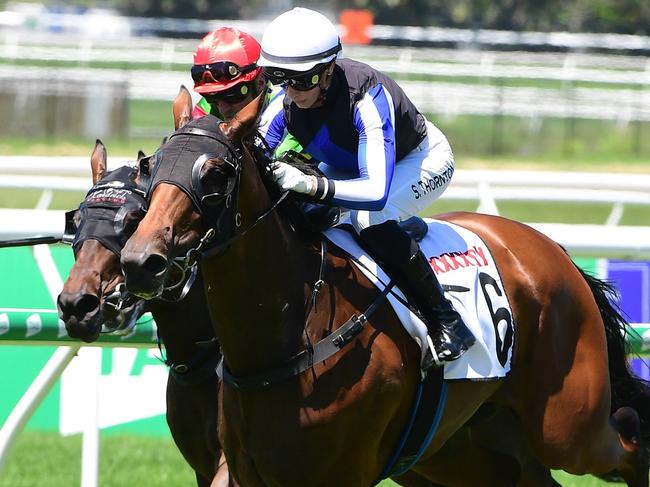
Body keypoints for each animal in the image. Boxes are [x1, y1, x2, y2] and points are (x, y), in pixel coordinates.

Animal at [120, 93, 648, 486]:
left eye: (215, 173)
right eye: (153, 167)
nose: (141, 261)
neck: (289, 335)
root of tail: (553, 249)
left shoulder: (340, 474)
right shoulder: (246, 473)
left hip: (567, 425)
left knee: (629, 437)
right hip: (460, 448)